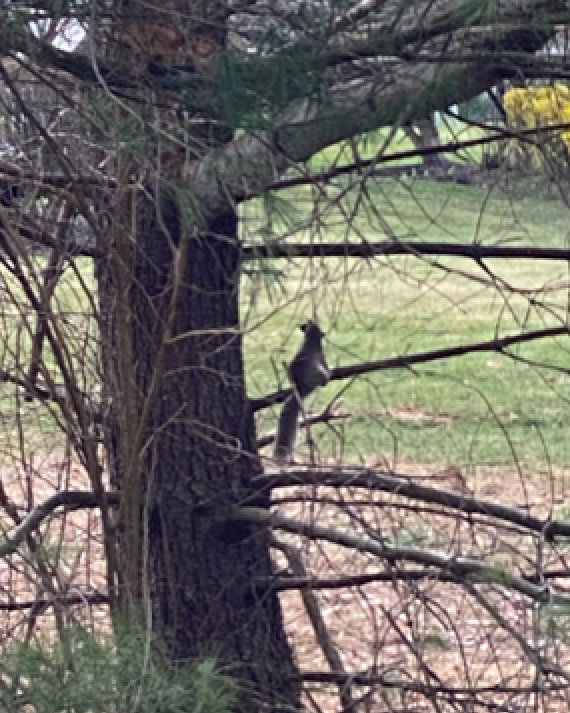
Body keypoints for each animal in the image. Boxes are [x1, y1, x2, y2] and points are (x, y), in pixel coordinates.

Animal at [274, 320, 330, 464]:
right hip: (317, 373)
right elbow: (326, 365)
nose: (304, 323)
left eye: (310, 323)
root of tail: (302, 389)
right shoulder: (321, 358)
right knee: (322, 375)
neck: (311, 341)